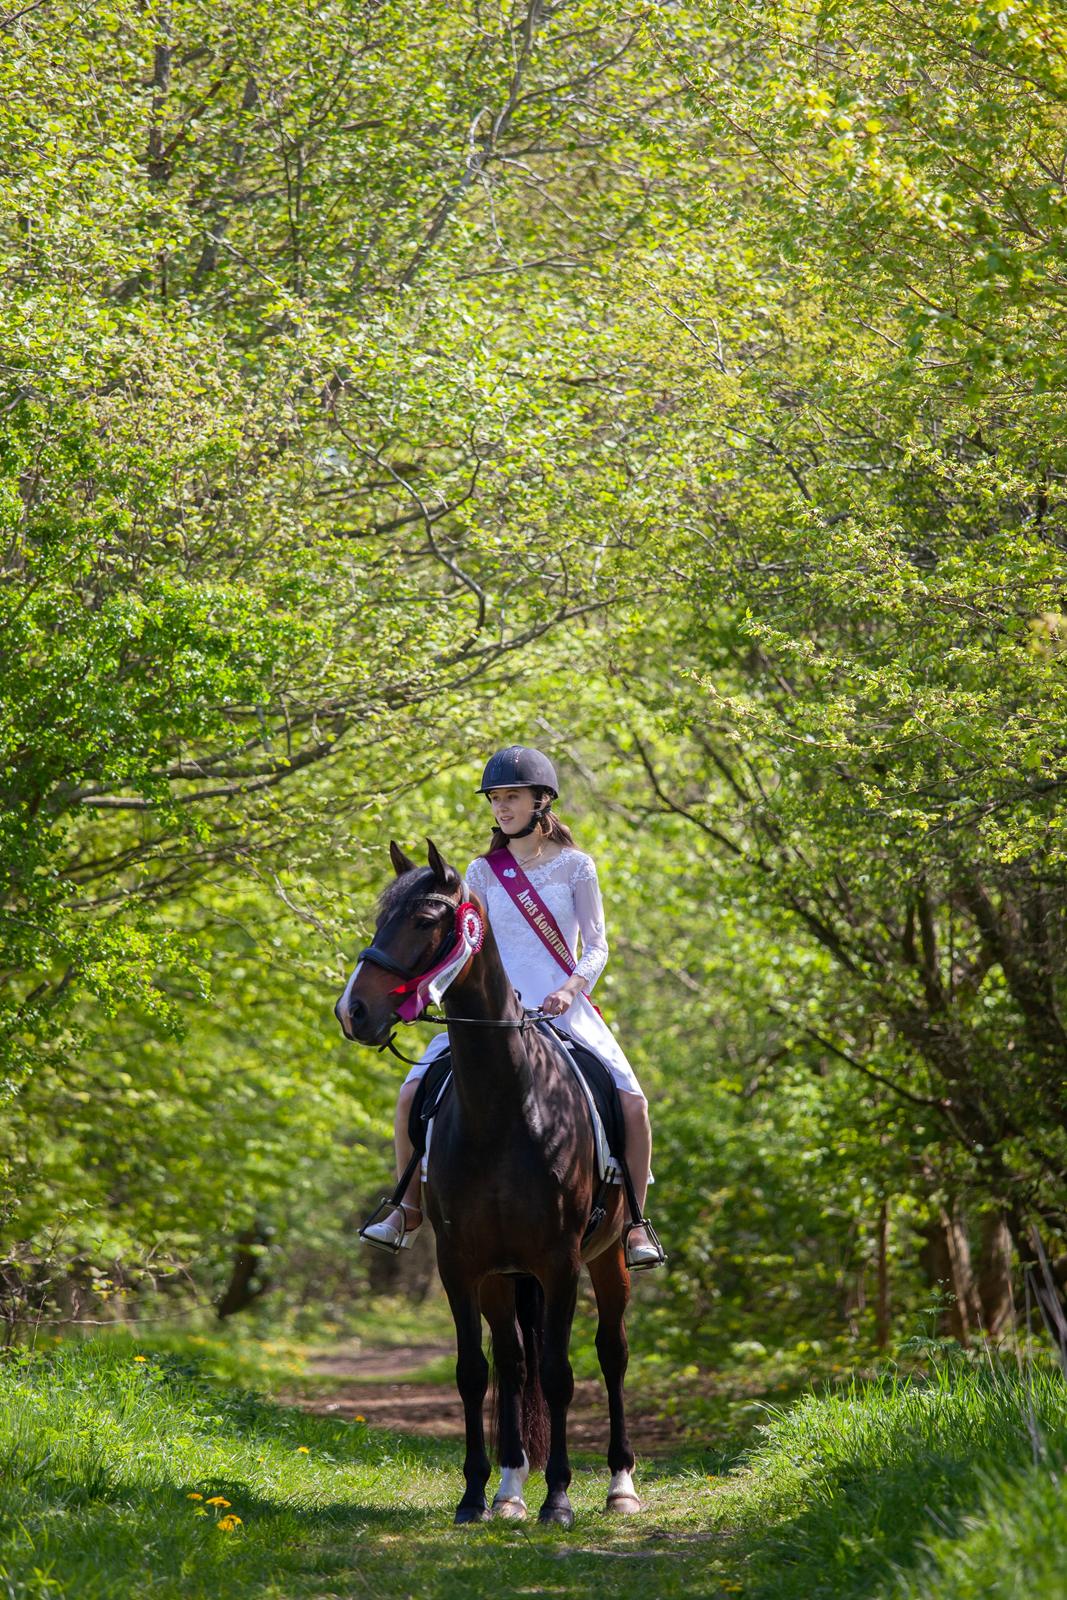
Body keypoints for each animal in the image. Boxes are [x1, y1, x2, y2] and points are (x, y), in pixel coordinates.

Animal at [337, 838, 639, 1523]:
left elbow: (559, 1373)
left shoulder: (559, 1260)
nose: (353, 1011)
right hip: (505, 1276)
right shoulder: (462, 1261)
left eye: (426, 919)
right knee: (513, 1361)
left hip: (607, 1257)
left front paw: (560, 1497)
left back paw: (619, 1484)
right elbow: (476, 1371)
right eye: (379, 917)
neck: (506, 1103)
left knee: (611, 1352)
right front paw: (477, 1492)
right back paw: (510, 1488)